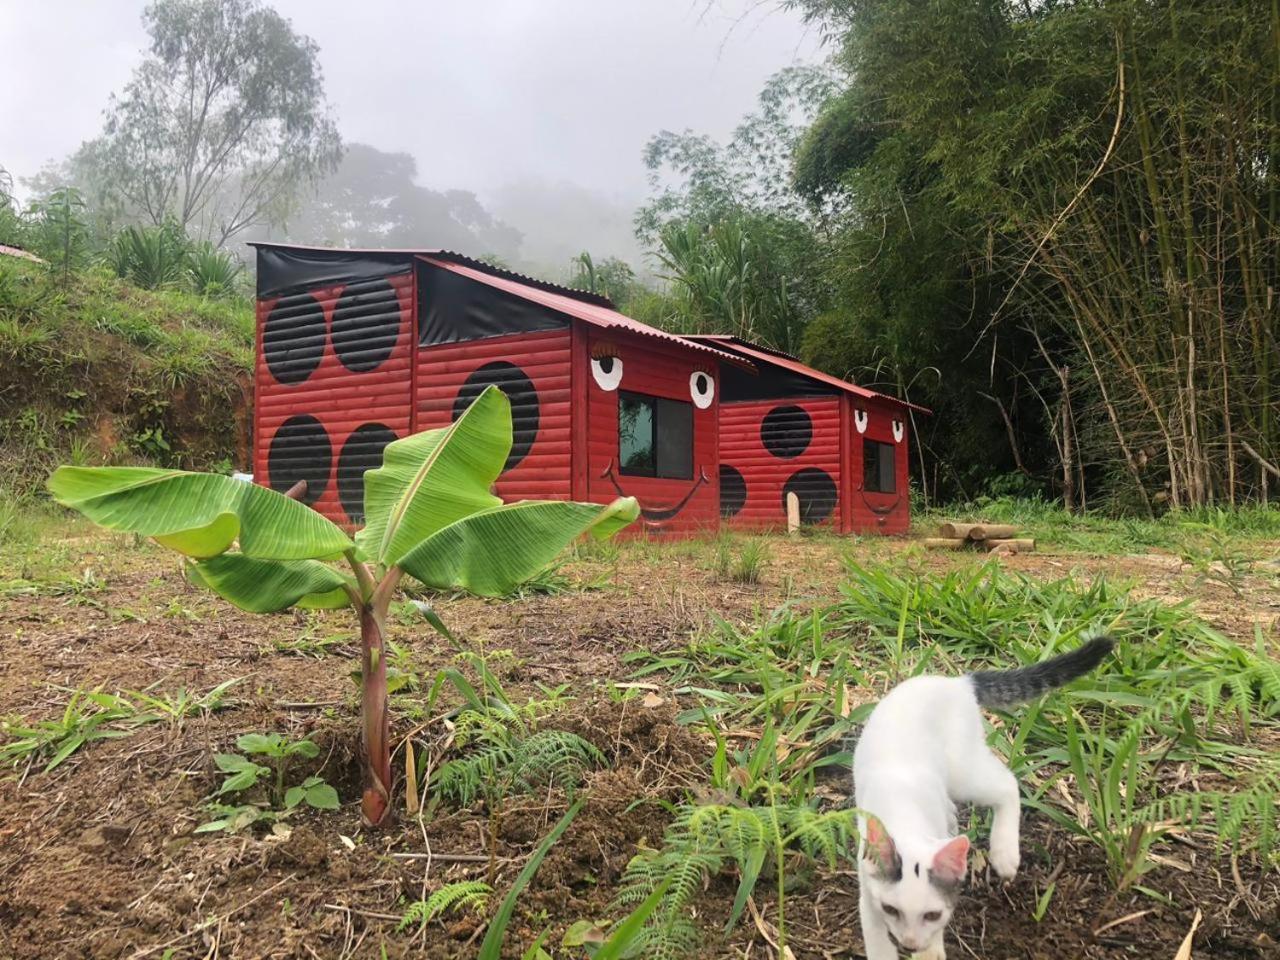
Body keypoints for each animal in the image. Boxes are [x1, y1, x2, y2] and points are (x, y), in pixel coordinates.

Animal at [855, 634, 1116, 957]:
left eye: (932, 915)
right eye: (891, 909)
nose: (909, 943)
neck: (906, 815)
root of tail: (957, 682)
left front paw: (929, 951)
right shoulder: (869, 895)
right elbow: (878, 942)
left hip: (963, 770)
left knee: (1007, 784)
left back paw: (1005, 854)